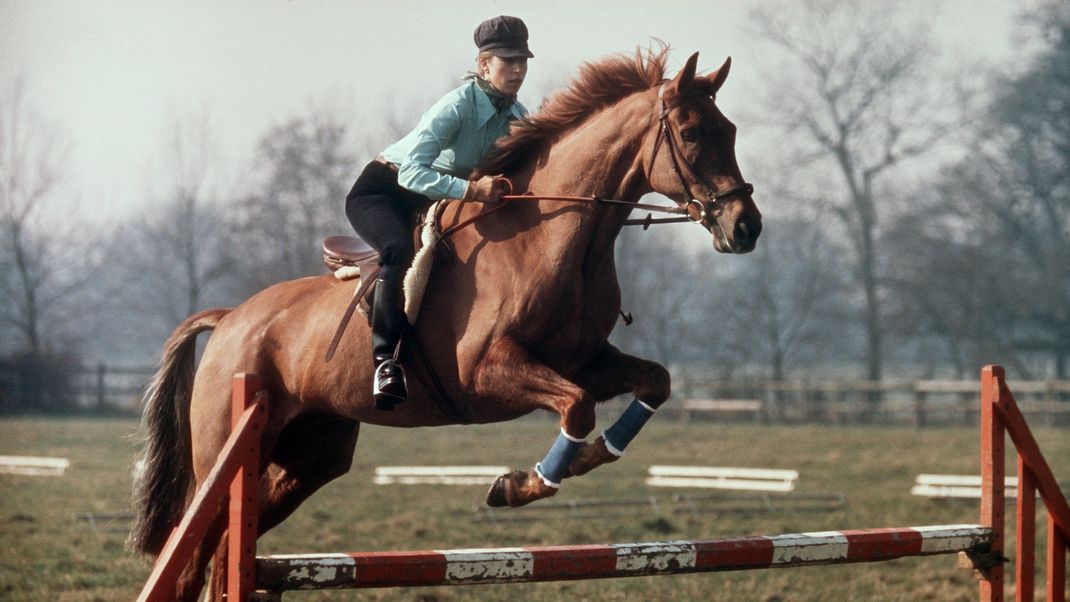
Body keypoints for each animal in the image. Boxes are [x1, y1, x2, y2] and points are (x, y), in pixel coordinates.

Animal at [129, 48, 761, 602]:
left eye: (728, 129)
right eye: (691, 134)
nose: (745, 227)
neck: (553, 236)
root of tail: (230, 319)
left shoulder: (583, 359)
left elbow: (652, 383)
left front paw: (583, 460)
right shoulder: (486, 373)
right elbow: (577, 407)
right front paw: (519, 485)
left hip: (310, 455)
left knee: (229, 545)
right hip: (227, 447)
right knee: (193, 553)